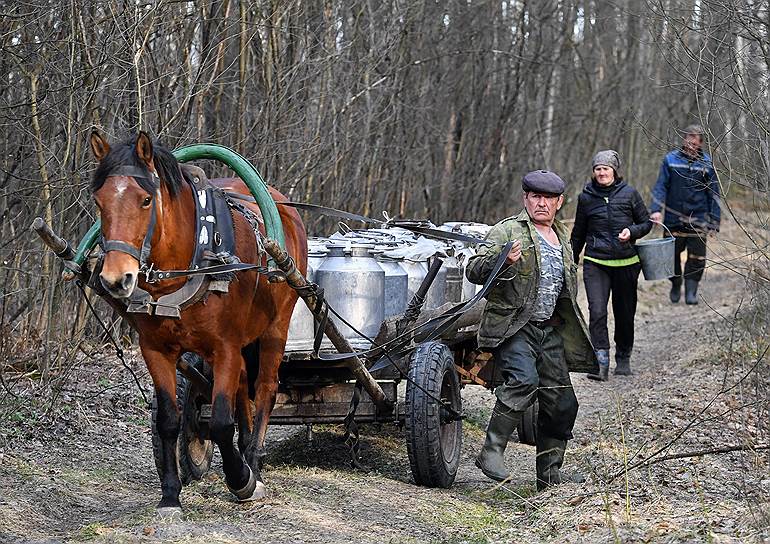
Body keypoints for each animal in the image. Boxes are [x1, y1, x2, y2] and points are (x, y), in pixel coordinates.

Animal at [89, 130, 306, 516]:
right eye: (99, 201)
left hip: (276, 327)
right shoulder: (156, 350)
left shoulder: (225, 347)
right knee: (242, 387)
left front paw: (241, 480)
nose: (116, 278)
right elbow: (169, 420)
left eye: (146, 200)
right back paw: (245, 448)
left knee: (265, 388)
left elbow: (219, 422)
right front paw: (170, 495)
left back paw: (253, 461)